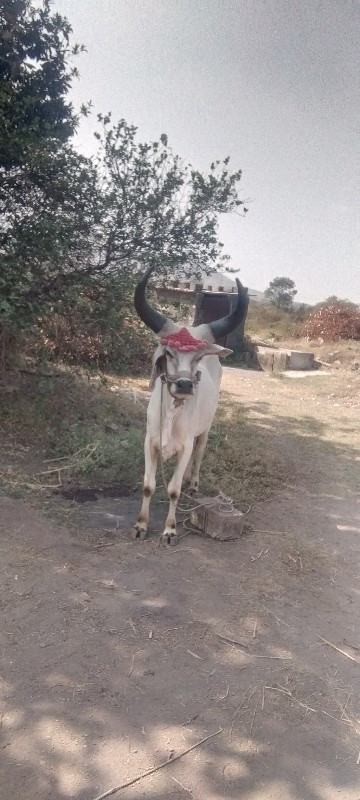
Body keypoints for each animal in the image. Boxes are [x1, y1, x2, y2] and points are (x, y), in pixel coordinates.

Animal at [131, 268, 248, 544]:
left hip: (205, 430)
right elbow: (148, 485)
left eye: (199, 356)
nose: (184, 385)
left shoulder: (185, 446)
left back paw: (192, 483)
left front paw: (170, 529)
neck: (172, 413)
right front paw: (141, 525)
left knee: (198, 454)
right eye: (169, 353)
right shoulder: (149, 442)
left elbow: (173, 490)